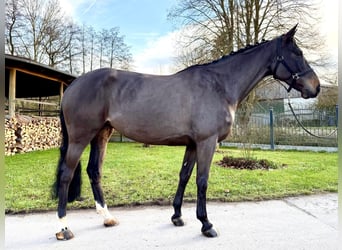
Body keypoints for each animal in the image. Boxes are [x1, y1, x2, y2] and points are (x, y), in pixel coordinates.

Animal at [53, 25, 320, 240]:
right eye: (298, 53)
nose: (316, 87)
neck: (220, 85)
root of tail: (74, 85)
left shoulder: (192, 144)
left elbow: (184, 176)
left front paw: (177, 216)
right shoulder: (207, 142)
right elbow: (202, 180)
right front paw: (206, 224)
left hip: (102, 134)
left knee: (94, 171)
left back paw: (107, 217)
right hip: (80, 138)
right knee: (66, 174)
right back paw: (64, 228)